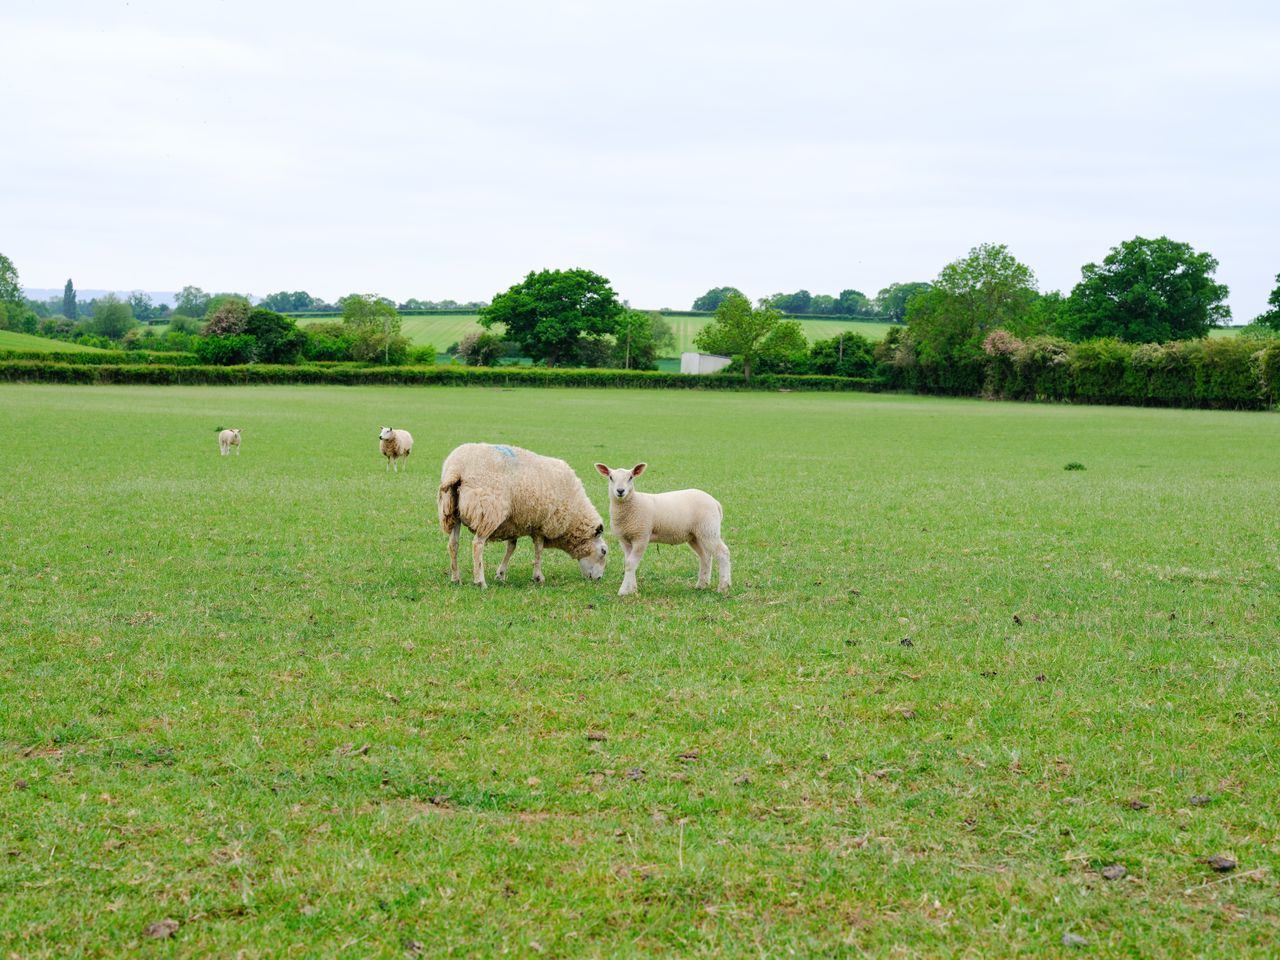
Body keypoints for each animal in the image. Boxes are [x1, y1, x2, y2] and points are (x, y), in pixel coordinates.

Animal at [438, 443, 608, 588]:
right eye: (604, 551)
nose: (599, 578)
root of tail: (457, 469)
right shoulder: (541, 525)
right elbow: (538, 550)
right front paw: (538, 577)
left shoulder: (513, 522)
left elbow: (511, 547)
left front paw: (501, 574)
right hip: (489, 510)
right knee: (477, 544)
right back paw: (480, 581)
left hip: (451, 510)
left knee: (453, 544)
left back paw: (455, 579)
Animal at [594, 462, 730, 596]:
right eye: (611, 478)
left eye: (630, 477)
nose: (620, 491)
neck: (634, 503)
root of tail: (715, 502)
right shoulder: (625, 539)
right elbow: (628, 563)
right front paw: (632, 589)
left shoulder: (641, 537)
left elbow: (630, 563)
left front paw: (623, 591)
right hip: (695, 535)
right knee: (705, 556)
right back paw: (702, 585)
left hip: (709, 530)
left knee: (723, 553)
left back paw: (724, 587)